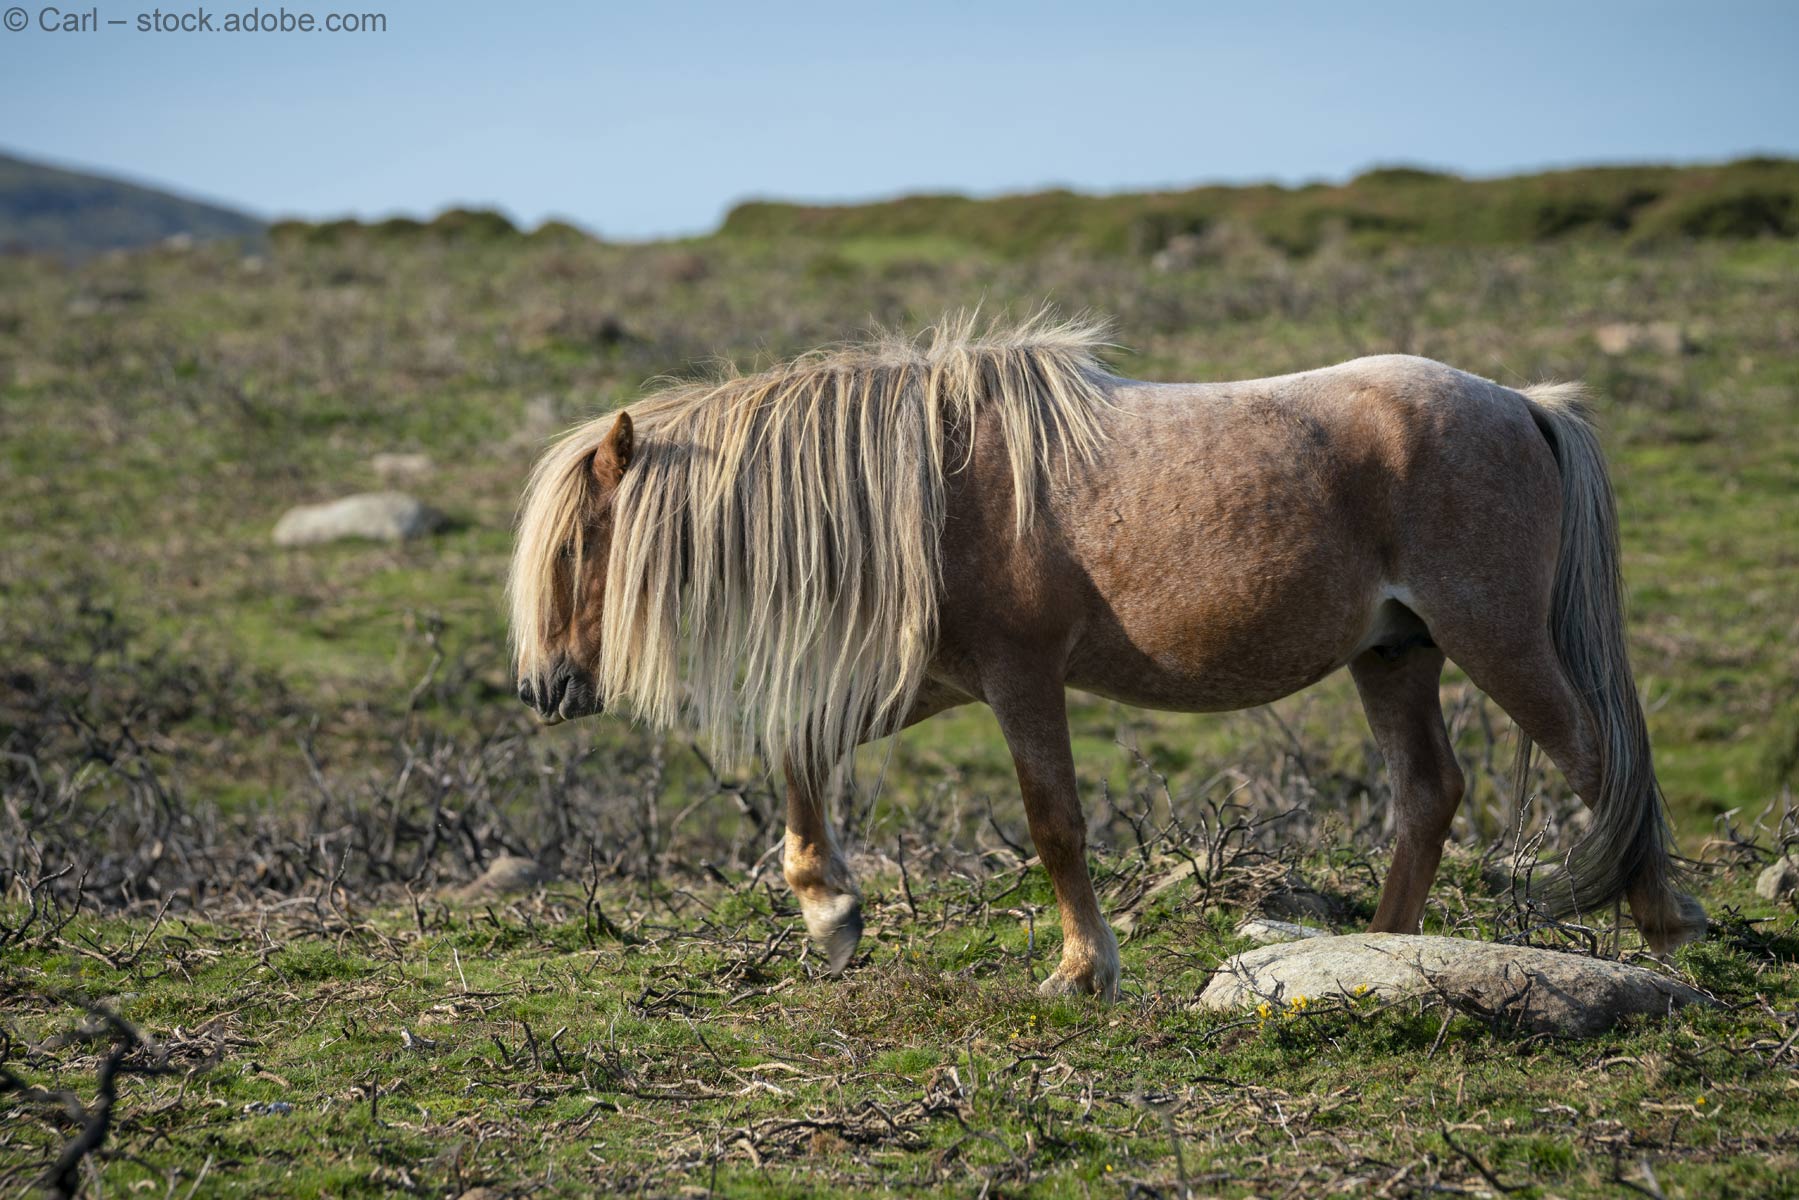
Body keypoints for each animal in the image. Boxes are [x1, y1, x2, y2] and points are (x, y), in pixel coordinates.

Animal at [507, 314, 1698, 1000]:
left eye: (576, 545)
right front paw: (829, 914)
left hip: (1491, 640)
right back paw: (1376, 955)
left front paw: (1083, 971)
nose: (544, 688)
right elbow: (802, 748)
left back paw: (1663, 930)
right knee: (1429, 790)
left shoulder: (1020, 679)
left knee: (1597, 763)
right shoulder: (938, 680)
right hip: (1394, 654)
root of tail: (1523, 407)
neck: (934, 488)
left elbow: (1055, 825)